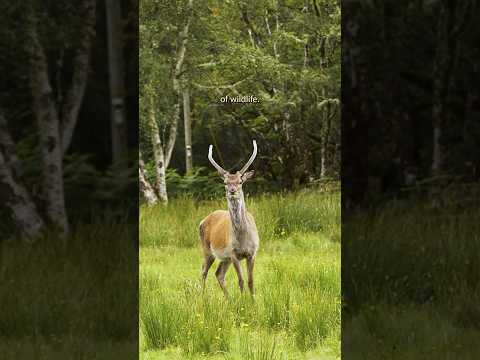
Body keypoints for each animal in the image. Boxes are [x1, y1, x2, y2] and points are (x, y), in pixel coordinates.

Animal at [198, 141, 260, 298]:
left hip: (224, 258)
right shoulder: (233, 253)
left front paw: (253, 300)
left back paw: (228, 299)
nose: (232, 191)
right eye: (225, 183)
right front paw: (243, 300)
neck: (243, 238)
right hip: (208, 249)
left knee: (218, 273)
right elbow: (241, 281)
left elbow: (251, 281)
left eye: (240, 182)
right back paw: (203, 298)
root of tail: (203, 220)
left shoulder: (252, 252)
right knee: (203, 271)